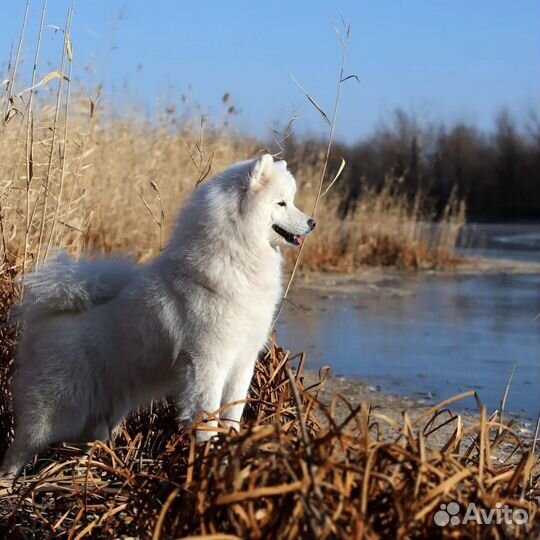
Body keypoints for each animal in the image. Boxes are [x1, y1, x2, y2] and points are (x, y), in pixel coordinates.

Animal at [2, 155, 316, 476]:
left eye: (291, 201)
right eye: (281, 203)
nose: (312, 222)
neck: (238, 256)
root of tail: (48, 320)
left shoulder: (242, 361)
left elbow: (232, 416)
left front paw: (229, 455)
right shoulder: (207, 364)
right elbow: (207, 418)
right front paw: (206, 458)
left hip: (102, 416)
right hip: (54, 413)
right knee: (19, 448)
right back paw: (10, 481)